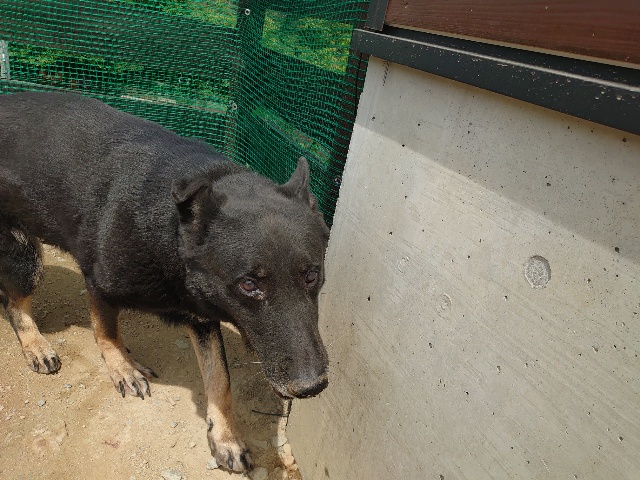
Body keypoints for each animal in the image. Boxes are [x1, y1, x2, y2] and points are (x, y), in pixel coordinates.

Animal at [0, 92, 330, 472]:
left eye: (312, 276)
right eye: (249, 284)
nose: (312, 386)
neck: (170, 232)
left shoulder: (202, 318)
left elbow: (220, 381)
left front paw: (225, 437)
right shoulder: (98, 285)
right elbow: (106, 333)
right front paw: (122, 369)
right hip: (27, 258)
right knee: (13, 302)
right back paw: (36, 346)